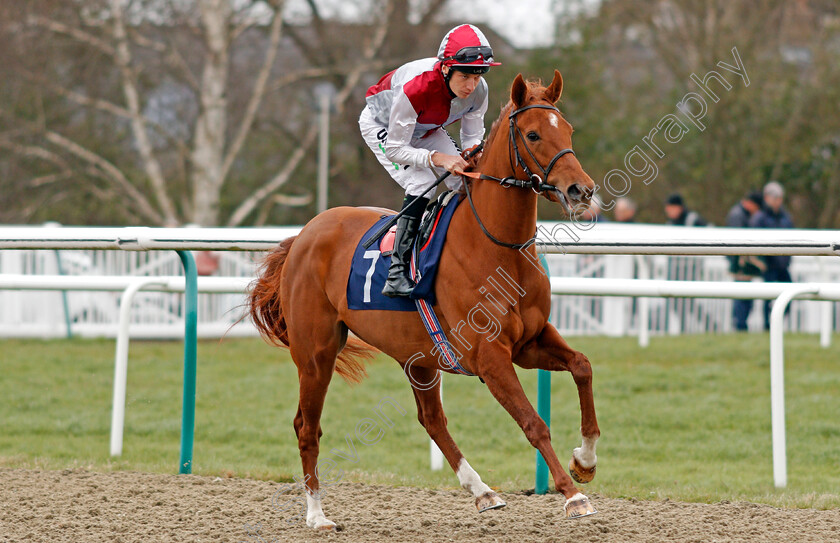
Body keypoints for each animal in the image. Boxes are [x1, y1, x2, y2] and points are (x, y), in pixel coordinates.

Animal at [253, 70, 600, 528]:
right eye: (533, 134)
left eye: (570, 130)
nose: (582, 190)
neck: (496, 246)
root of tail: (303, 235)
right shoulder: (490, 356)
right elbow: (533, 422)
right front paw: (572, 495)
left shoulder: (530, 341)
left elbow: (582, 366)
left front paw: (585, 461)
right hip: (315, 353)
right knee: (306, 427)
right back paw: (316, 514)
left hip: (416, 356)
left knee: (431, 419)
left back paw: (483, 491)